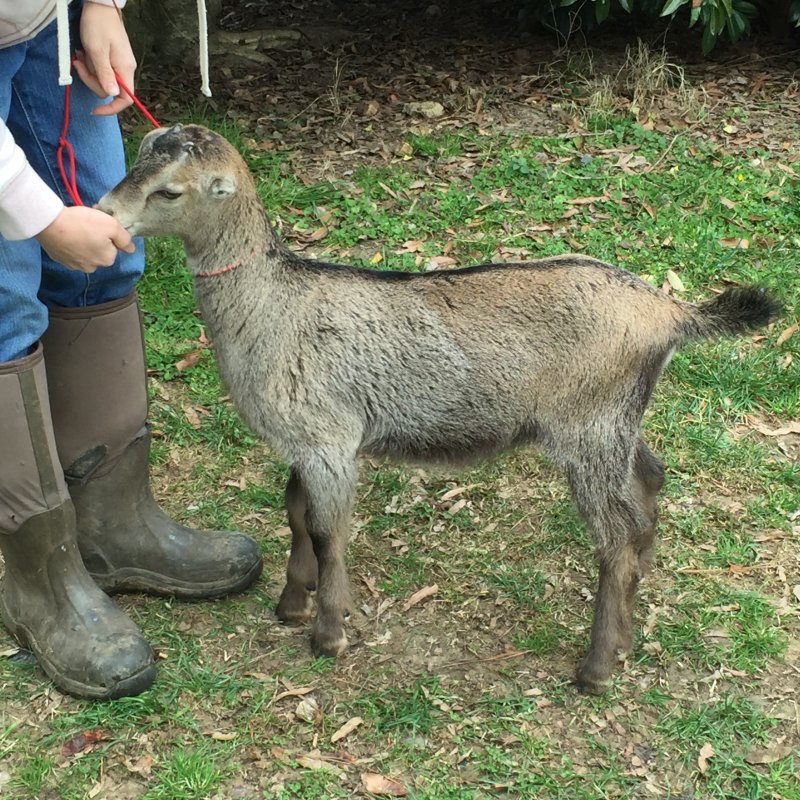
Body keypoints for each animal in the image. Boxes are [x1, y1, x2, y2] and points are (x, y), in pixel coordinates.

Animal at [97, 125, 780, 692]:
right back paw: (632, 620)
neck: (273, 305)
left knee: (615, 537)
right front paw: (292, 603)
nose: (103, 214)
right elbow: (295, 514)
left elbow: (326, 530)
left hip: (587, 428)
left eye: (168, 190)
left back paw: (595, 667)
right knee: (648, 486)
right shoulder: (310, 437)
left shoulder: (327, 437)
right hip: (614, 420)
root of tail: (667, 311)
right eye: (134, 161)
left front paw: (329, 634)